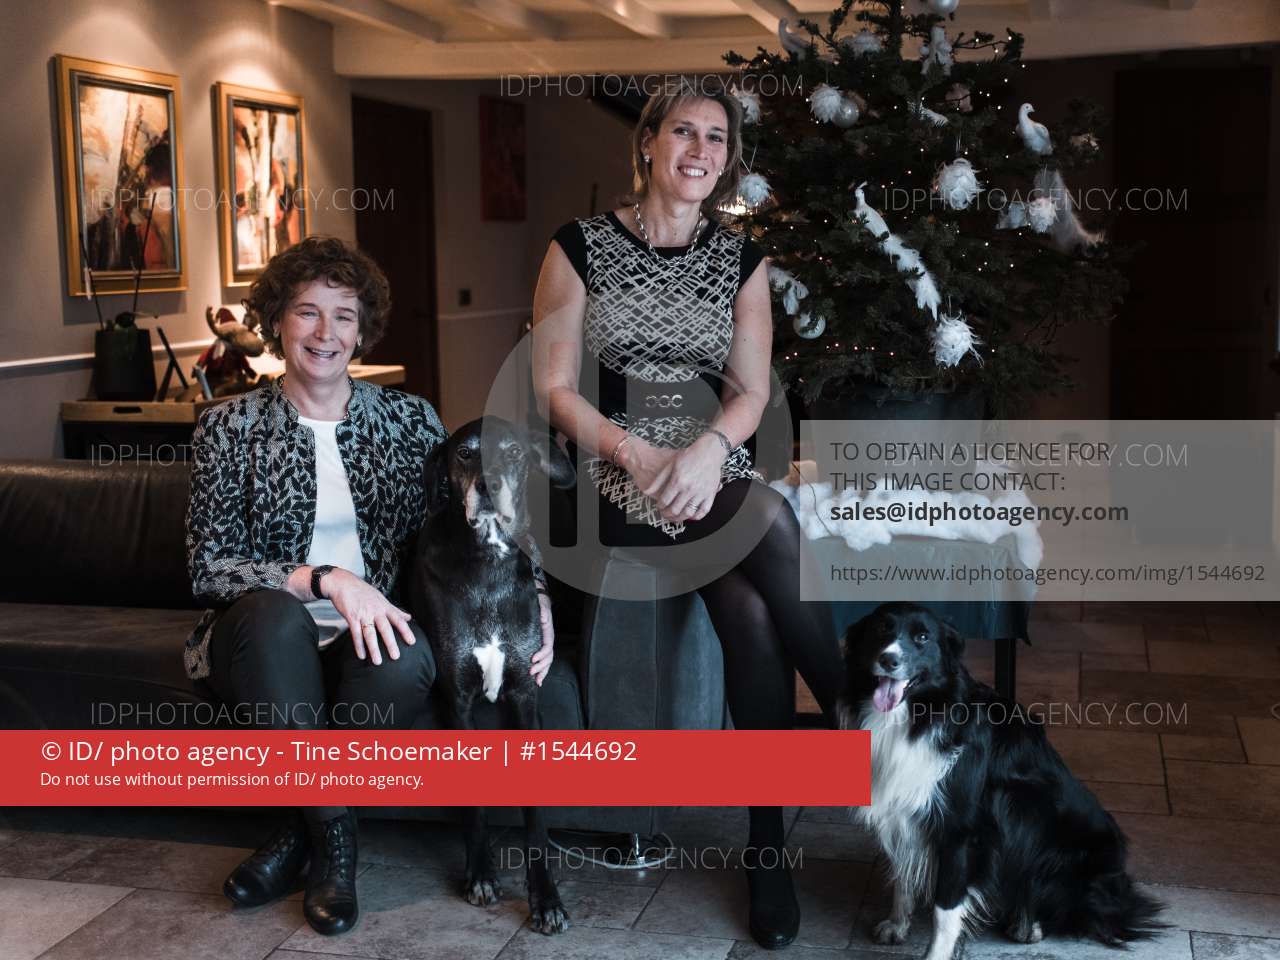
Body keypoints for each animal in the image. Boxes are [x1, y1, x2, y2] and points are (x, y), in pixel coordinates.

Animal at [409, 416, 575, 935]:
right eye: (465, 452)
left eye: (514, 452)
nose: (489, 485)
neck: (488, 561)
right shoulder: (458, 701)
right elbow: (476, 804)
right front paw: (480, 875)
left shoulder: (525, 695)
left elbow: (535, 816)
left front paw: (546, 899)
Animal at [840, 602, 1163, 960]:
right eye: (881, 629)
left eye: (922, 637)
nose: (889, 660)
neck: (918, 715)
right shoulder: (903, 812)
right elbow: (903, 875)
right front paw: (897, 924)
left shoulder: (960, 831)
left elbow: (945, 907)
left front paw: (935, 954)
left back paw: (1028, 923)